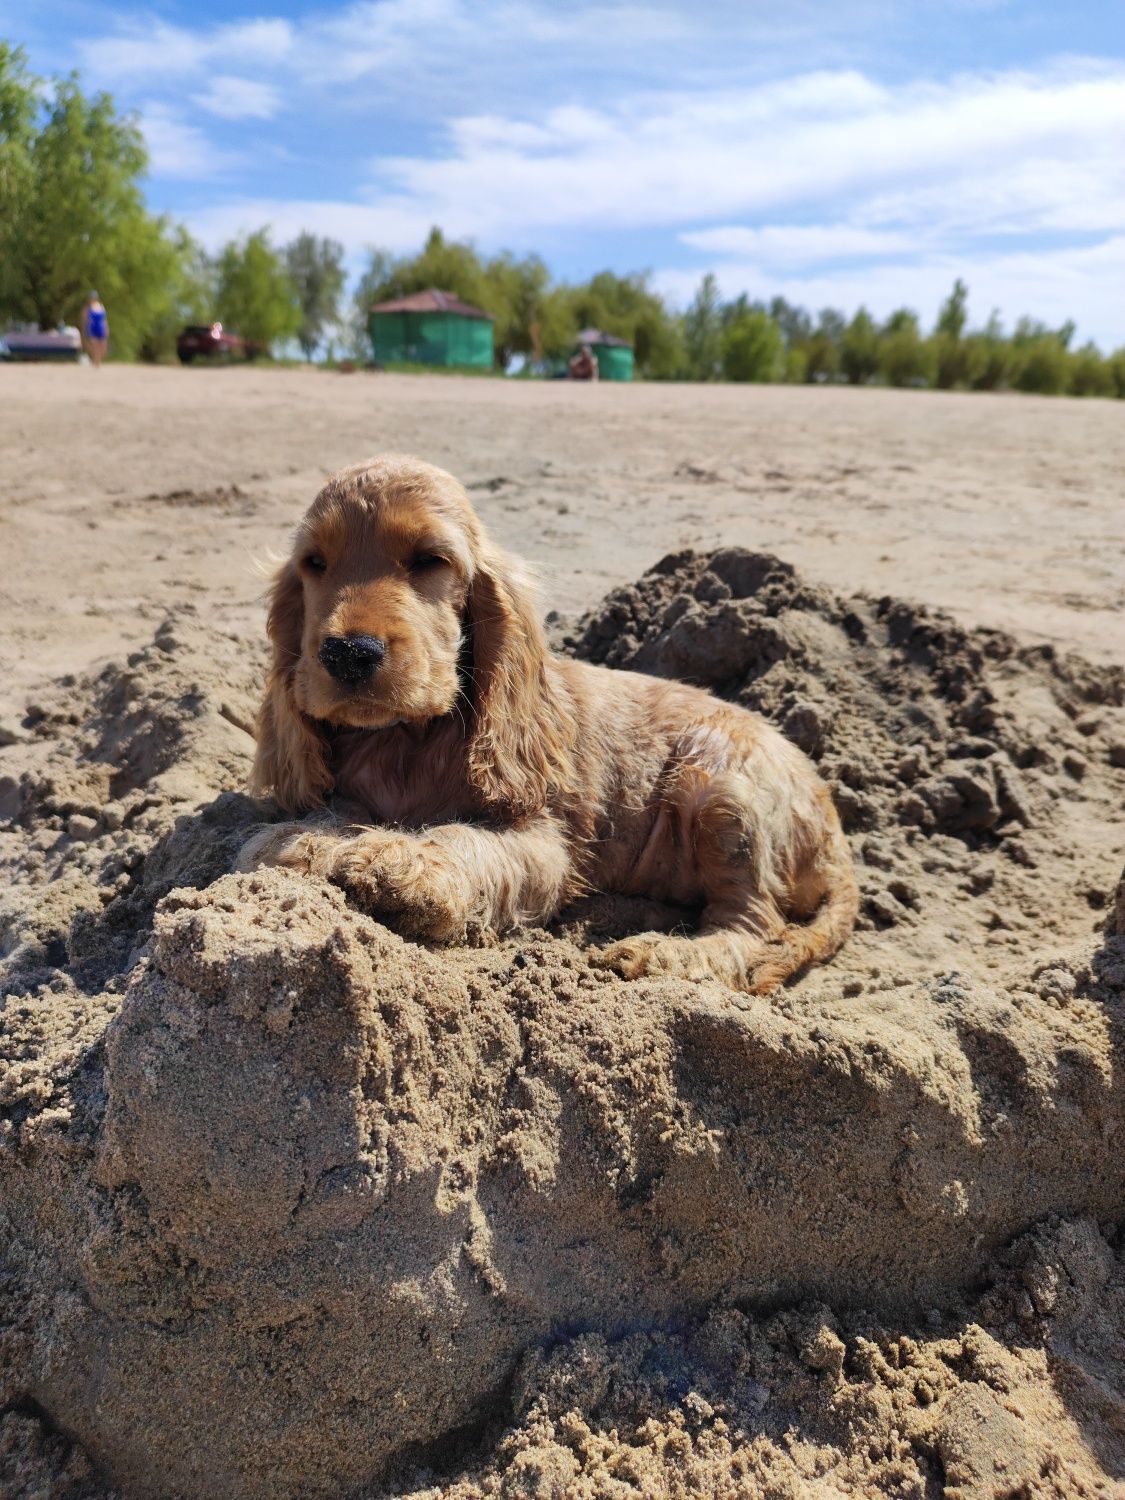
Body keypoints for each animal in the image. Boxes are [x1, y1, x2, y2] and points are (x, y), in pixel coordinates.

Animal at [235, 456, 852, 996]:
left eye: (430, 559)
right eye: (314, 564)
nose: (347, 654)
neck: (407, 739)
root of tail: (833, 830)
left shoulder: (544, 840)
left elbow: (466, 840)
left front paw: (400, 862)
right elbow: (333, 815)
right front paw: (302, 838)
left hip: (720, 787)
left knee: (752, 922)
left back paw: (667, 953)